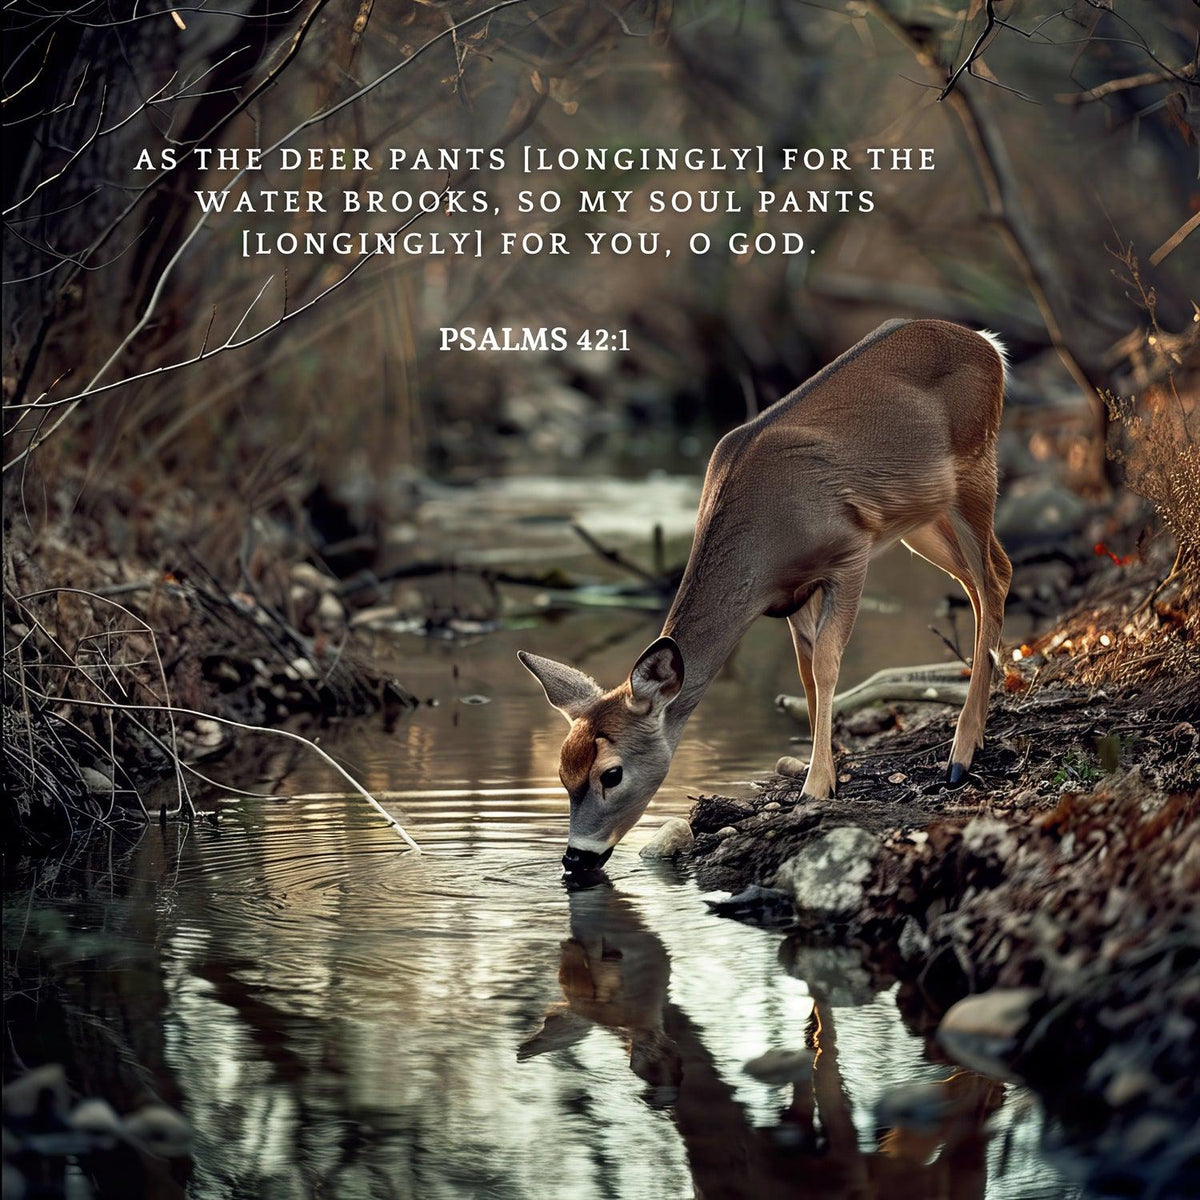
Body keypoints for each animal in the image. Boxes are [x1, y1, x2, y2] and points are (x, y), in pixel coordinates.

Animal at [520, 319, 1012, 873]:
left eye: (611, 773)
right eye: (563, 773)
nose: (575, 858)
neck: (765, 544)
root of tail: (988, 344)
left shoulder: (850, 552)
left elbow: (827, 664)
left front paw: (815, 788)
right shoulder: (792, 598)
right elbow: (807, 673)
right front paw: (825, 770)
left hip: (974, 471)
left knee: (995, 577)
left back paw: (961, 755)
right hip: (922, 518)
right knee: (984, 583)